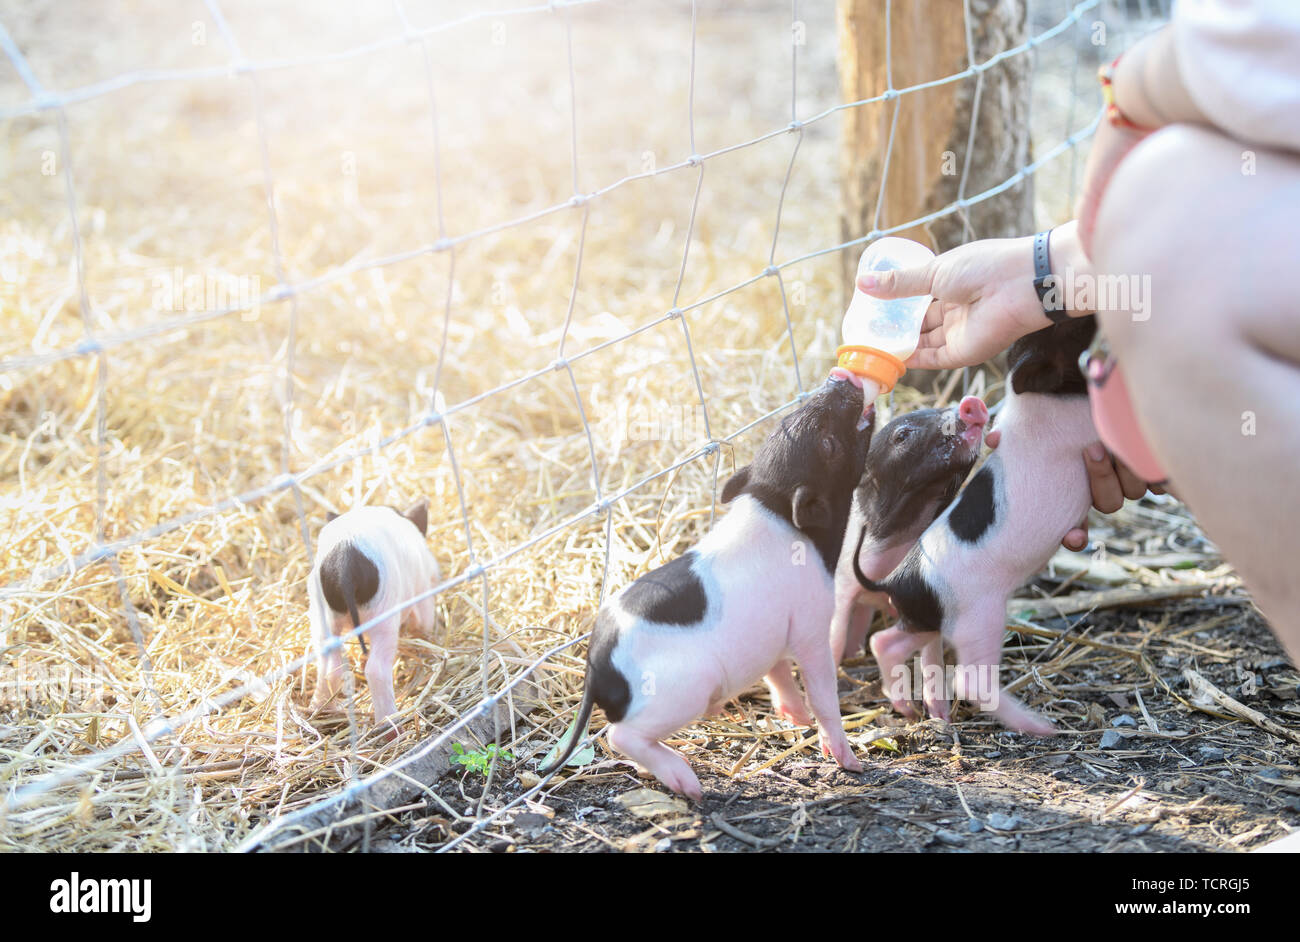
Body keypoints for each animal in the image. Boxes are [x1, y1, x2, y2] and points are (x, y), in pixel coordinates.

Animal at [308, 499, 439, 726]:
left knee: (329, 666)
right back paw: (389, 726)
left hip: (321, 615)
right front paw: (425, 638)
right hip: (383, 615)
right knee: (376, 669)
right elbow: (425, 618)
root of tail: (344, 563)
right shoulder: (423, 586)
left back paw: (322, 710)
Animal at [538, 369, 874, 800]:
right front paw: (850, 763)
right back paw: (689, 784)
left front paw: (795, 718)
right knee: (620, 735)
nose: (838, 379)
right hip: (684, 687)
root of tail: (597, 667)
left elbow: (778, 672)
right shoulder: (811, 626)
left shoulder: (775, 631)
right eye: (828, 444)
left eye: (783, 422)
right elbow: (823, 695)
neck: (775, 502)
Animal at [854, 317, 1098, 734]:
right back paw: (1041, 726)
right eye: (1072, 331)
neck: (1035, 398)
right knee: (969, 680)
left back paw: (908, 710)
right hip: (979, 617)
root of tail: (896, 579)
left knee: (883, 642)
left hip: (926, 616)